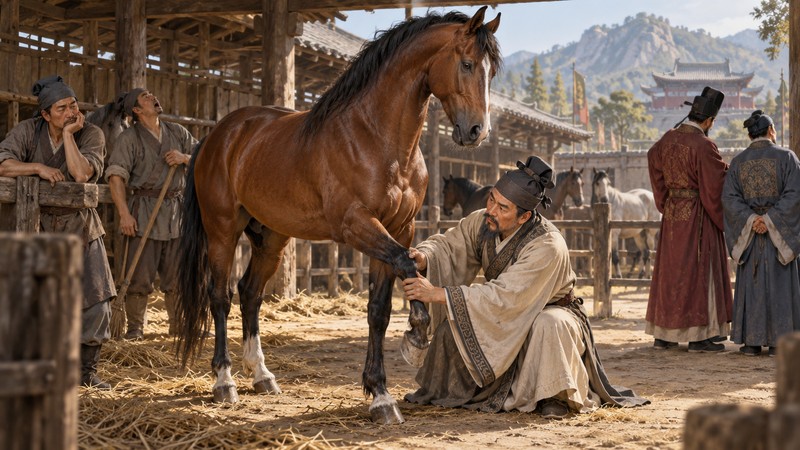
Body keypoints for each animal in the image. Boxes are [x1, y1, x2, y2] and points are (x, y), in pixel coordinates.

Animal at [174, 8, 501, 425]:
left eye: (492, 72)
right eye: (467, 63)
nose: (476, 131)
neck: (375, 137)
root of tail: (218, 135)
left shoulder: (399, 228)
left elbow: (380, 308)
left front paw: (381, 394)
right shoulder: (357, 225)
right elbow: (406, 265)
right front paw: (416, 333)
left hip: (272, 238)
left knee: (250, 294)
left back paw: (262, 375)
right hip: (222, 232)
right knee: (220, 297)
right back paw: (224, 381)